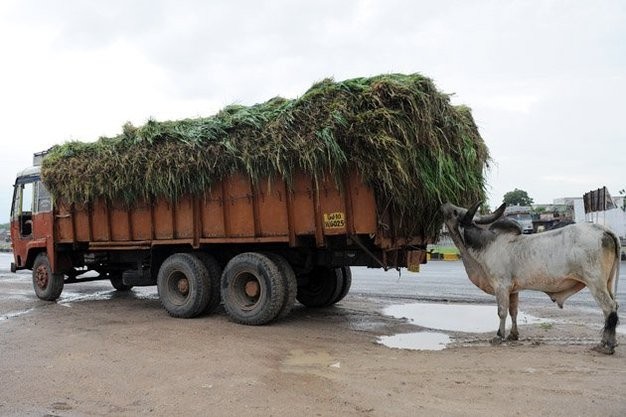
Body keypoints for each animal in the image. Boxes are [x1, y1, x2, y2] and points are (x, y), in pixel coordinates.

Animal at [442, 202, 616, 354]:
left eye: (455, 212)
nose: (444, 204)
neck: (487, 244)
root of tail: (604, 230)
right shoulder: (513, 290)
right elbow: (513, 312)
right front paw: (513, 335)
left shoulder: (501, 286)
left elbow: (502, 311)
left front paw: (499, 336)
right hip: (608, 283)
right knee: (612, 309)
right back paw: (607, 342)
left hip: (595, 283)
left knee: (609, 308)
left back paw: (607, 346)